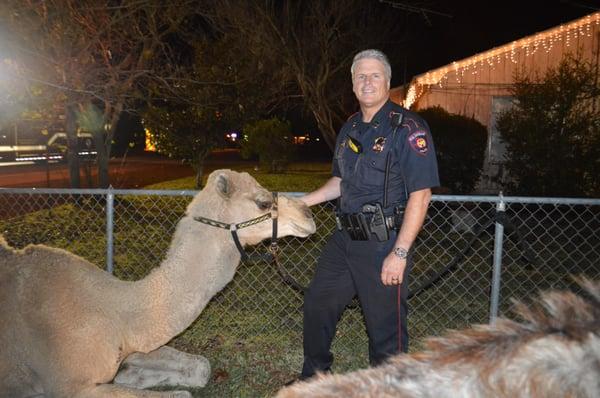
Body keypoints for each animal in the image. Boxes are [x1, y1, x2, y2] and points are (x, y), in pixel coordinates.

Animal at [0, 169, 316, 396]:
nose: (309, 214)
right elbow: (182, 394)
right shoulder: (68, 386)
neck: (114, 311)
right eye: (263, 203)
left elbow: (201, 367)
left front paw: (131, 373)